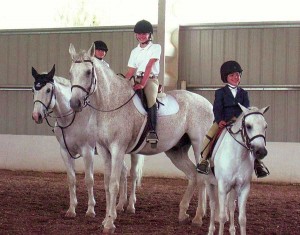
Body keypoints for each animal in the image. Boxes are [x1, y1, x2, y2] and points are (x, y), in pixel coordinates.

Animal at [31, 65, 144, 218]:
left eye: (48, 90)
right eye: (33, 90)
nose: (36, 116)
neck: (72, 118)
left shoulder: (87, 151)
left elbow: (89, 180)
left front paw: (90, 210)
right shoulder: (65, 152)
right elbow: (71, 179)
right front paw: (72, 209)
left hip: (134, 152)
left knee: (133, 174)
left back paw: (131, 205)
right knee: (123, 172)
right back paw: (120, 205)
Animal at [68, 42, 213, 233]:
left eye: (88, 72)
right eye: (71, 72)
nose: (74, 103)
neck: (111, 103)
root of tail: (207, 103)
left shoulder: (118, 149)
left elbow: (114, 184)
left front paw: (110, 223)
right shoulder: (104, 150)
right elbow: (106, 184)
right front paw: (106, 219)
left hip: (199, 146)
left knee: (202, 178)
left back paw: (198, 217)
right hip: (176, 151)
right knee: (193, 175)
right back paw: (183, 213)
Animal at [205, 104, 268, 235]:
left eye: (265, 126)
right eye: (248, 126)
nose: (261, 152)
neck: (238, 156)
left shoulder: (244, 188)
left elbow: (242, 218)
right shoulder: (222, 188)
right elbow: (222, 216)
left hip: (233, 189)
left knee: (230, 206)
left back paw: (232, 230)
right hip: (209, 183)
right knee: (213, 205)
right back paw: (210, 230)